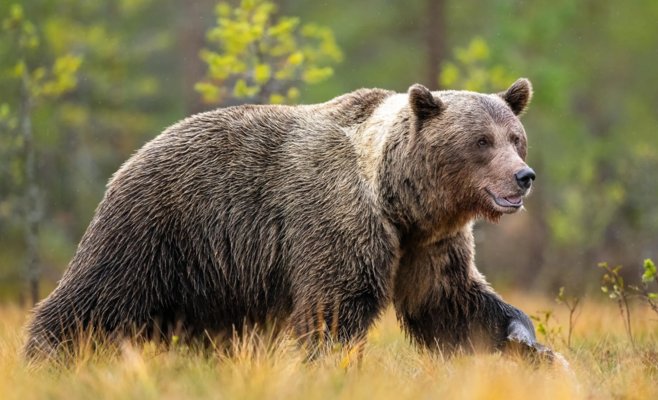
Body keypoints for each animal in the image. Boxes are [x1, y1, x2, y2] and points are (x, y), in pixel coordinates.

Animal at [24, 78, 551, 361]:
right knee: (94, 301)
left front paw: (530, 346)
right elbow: (333, 311)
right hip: (159, 228)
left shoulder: (427, 244)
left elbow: (451, 303)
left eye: (515, 137)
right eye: (481, 141)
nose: (523, 176)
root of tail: (130, 158)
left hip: (216, 279)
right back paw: (45, 354)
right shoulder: (337, 221)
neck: (397, 200)